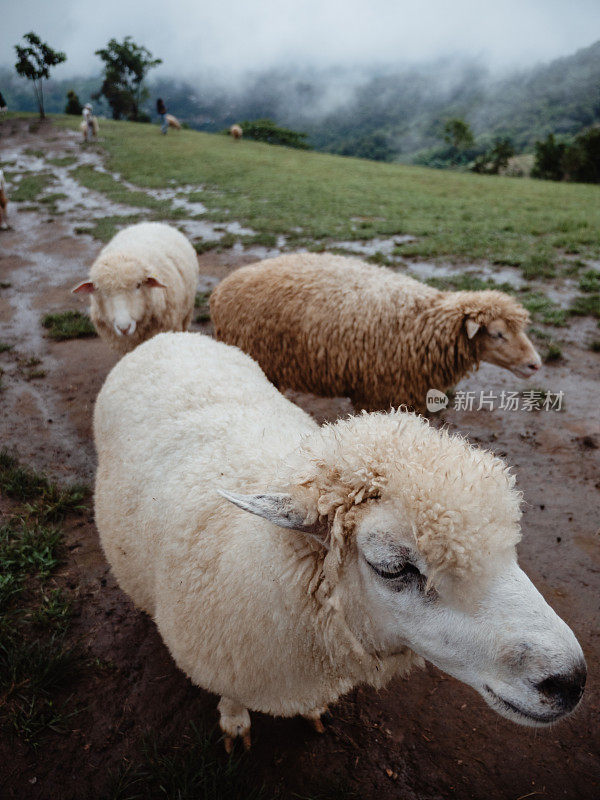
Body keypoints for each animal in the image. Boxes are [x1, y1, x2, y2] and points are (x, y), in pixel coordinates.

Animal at [95, 330, 584, 752]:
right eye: (392, 566)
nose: (571, 680)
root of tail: (170, 336)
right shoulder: (218, 662)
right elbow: (230, 697)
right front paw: (234, 723)